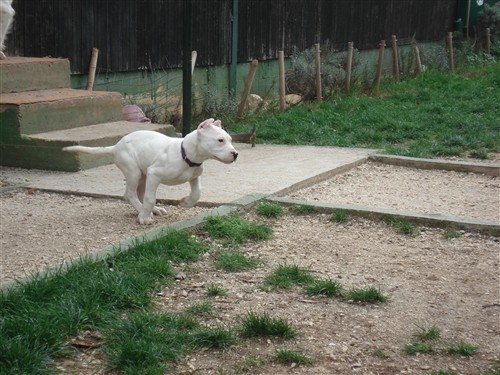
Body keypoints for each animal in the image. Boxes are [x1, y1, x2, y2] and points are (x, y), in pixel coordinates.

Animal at [63, 118, 239, 223]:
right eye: (220, 140)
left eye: (230, 140)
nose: (235, 154)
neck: (186, 155)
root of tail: (116, 146)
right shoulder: (155, 173)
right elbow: (150, 198)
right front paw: (144, 219)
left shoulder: (194, 177)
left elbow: (197, 193)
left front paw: (185, 202)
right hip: (134, 172)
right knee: (131, 194)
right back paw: (144, 212)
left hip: (143, 175)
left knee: (139, 194)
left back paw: (153, 210)